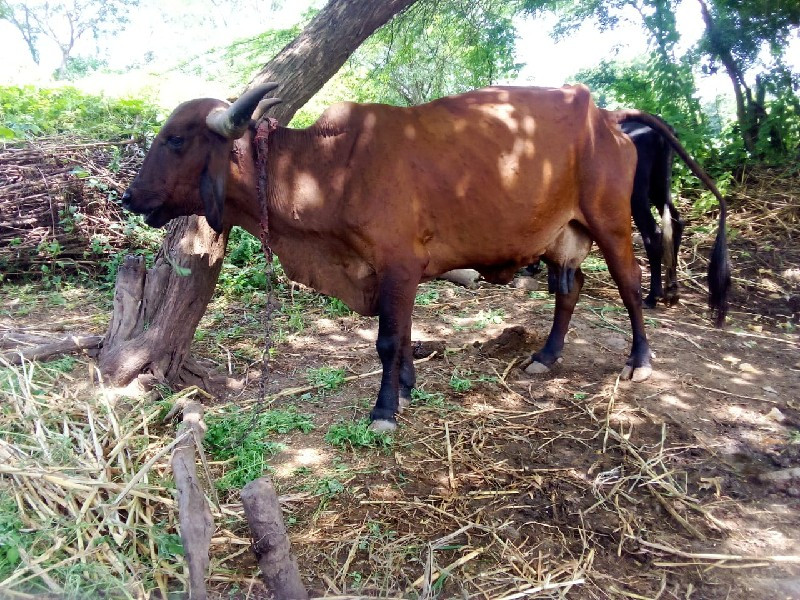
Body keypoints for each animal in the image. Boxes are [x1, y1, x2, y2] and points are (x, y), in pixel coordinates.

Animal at [122, 85, 728, 432]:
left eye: (175, 140)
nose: (130, 198)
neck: (328, 168)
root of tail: (607, 115)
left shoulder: (396, 264)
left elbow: (390, 339)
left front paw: (385, 410)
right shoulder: (397, 272)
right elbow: (406, 335)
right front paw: (408, 386)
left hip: (610, 220)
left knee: (629, 281)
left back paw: (640, 359)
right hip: (565, 235)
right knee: (570, 290)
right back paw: (546, 355)